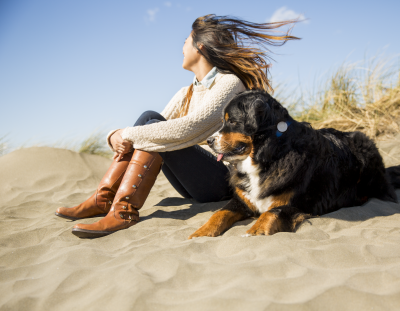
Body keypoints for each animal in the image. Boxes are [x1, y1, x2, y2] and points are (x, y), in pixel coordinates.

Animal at [188, 89, 400, 240]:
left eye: (232, 121)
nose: (209, 141)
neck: (268, 155)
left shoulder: (295, 203)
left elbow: (271, 212)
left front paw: (255, 230)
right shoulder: (242, 199)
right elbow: (219, 213)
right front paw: (201, 232)